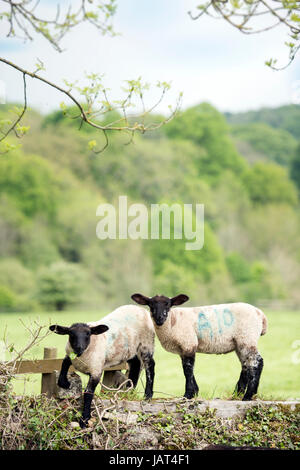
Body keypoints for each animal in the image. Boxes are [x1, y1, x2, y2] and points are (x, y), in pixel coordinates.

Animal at [131, 294, 268, 400]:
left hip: (247, 338)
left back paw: (248, 396)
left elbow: (188, 369)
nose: (159, 318)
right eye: (150, 305)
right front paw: (194, 392)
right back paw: (237, 394)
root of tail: (261, 315)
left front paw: (187, 395)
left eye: (168, 304)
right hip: (240, 343)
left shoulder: (188, 342)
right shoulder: (184, 348)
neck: (173, 322)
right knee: (246, 365)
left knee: (257, 362)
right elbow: (188, 369)